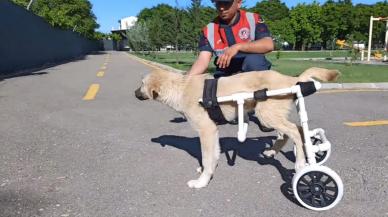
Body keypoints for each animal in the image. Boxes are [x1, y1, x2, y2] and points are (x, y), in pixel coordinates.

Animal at [135, 67, 338, 188]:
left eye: (142, 84)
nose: (134, 93)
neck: (181, 88)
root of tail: (290, 80)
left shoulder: (206, 131)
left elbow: (207, 157)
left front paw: (202, 182)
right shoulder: (213, 132)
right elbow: (213, 155)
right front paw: (208, 170)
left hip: (266, 115)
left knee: (295, 131)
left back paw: (301, 163)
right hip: (273, 115)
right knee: (296, 131)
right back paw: (275, 151)